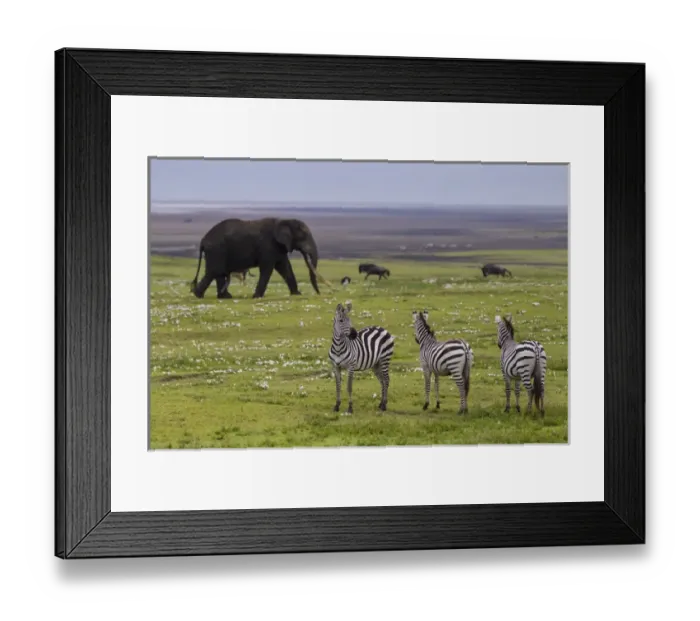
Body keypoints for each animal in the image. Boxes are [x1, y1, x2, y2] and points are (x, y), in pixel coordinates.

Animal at [190, 217, 334, 299]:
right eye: (303, 236)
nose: (319, 294)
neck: (283, 221)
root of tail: (203, 240)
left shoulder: (279, 247)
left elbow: (285, 267)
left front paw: (297, 294)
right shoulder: (268, 246)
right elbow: (267, 268)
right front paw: (257, 297)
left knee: (218, 273)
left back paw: (223, 297)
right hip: (217, 250)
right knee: (215, 272)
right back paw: (199, 295)